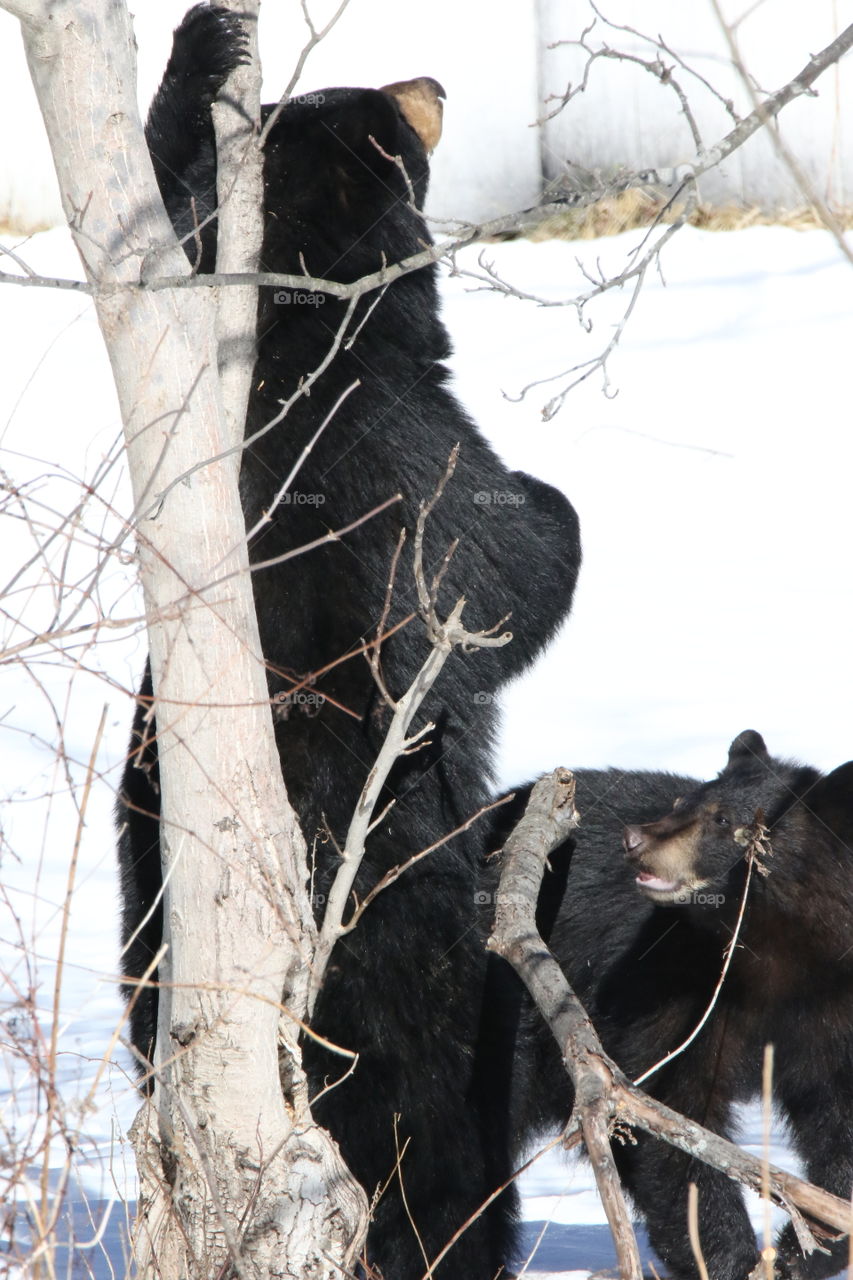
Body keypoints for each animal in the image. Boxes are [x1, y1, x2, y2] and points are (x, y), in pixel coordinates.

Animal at [118, 7, 581, 1279]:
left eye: (343, 87)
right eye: (392, 114)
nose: (433, 74)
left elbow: (166, 199)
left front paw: (206, 46)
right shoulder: (409, 456)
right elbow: (507, 574)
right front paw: (556, 503)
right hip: (424, 984)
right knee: (446, 1146)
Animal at [494, 731, 853, 1280]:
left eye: (723, 820)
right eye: (685, 801)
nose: (633, 839)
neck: (773, 951)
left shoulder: (832, 998)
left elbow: (840, 1117)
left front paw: (804, 1247)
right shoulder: (674, 979)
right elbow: (673, 1104)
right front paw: (730, 1257)